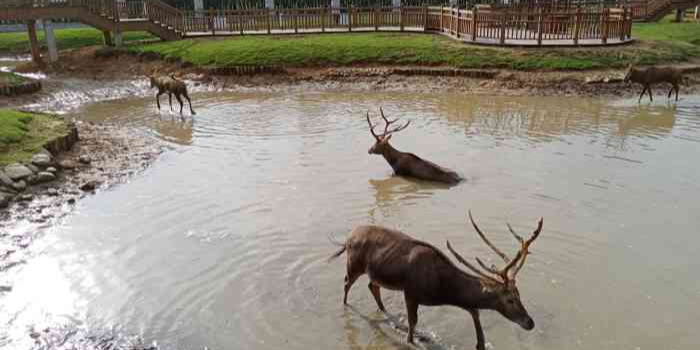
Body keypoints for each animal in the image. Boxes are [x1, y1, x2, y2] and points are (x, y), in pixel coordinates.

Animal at [330, 211, 544, 350]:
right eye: (510, 299)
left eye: (519, 294)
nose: (530, 322)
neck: (442, 290)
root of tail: (348, 237)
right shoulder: (410, 292)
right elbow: (412, 326)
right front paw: (411, 339)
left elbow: (476, 320)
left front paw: (479, 342)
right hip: (354, 264)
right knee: (347, 282)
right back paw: (345, 305)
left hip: (373, 271)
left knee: (372, 285)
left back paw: (384, 311)